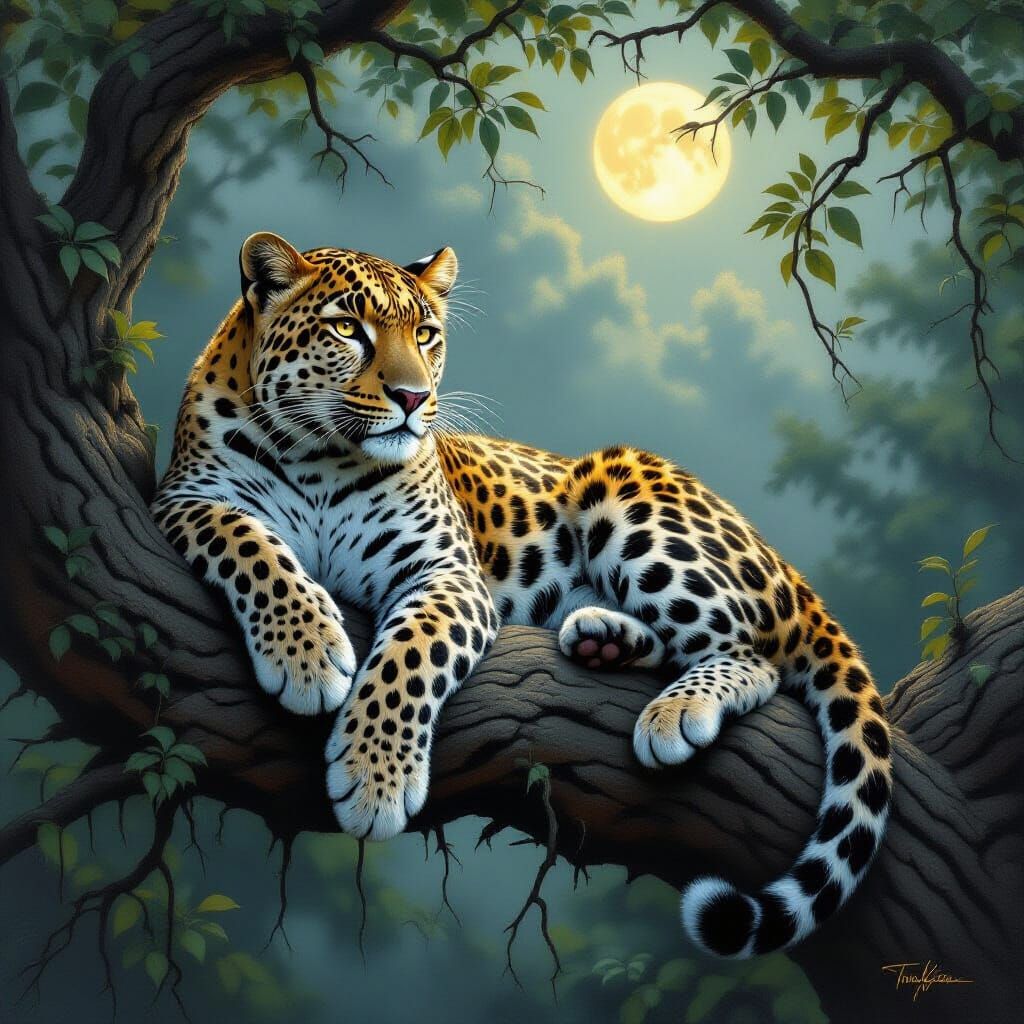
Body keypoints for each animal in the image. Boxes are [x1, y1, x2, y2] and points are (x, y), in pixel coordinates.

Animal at [152, 232, 893, 958]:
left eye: (425, 334)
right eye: (345, 329)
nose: (412, 398)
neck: (320, 459)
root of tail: (779, 559)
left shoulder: (447, 571)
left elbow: (408, 660)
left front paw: (376, 777)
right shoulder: (188, 499)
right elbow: (251, 544)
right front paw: (306, 653)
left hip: (622, 486)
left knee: (754, 653)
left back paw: (675, 712)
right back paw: (603, 641)